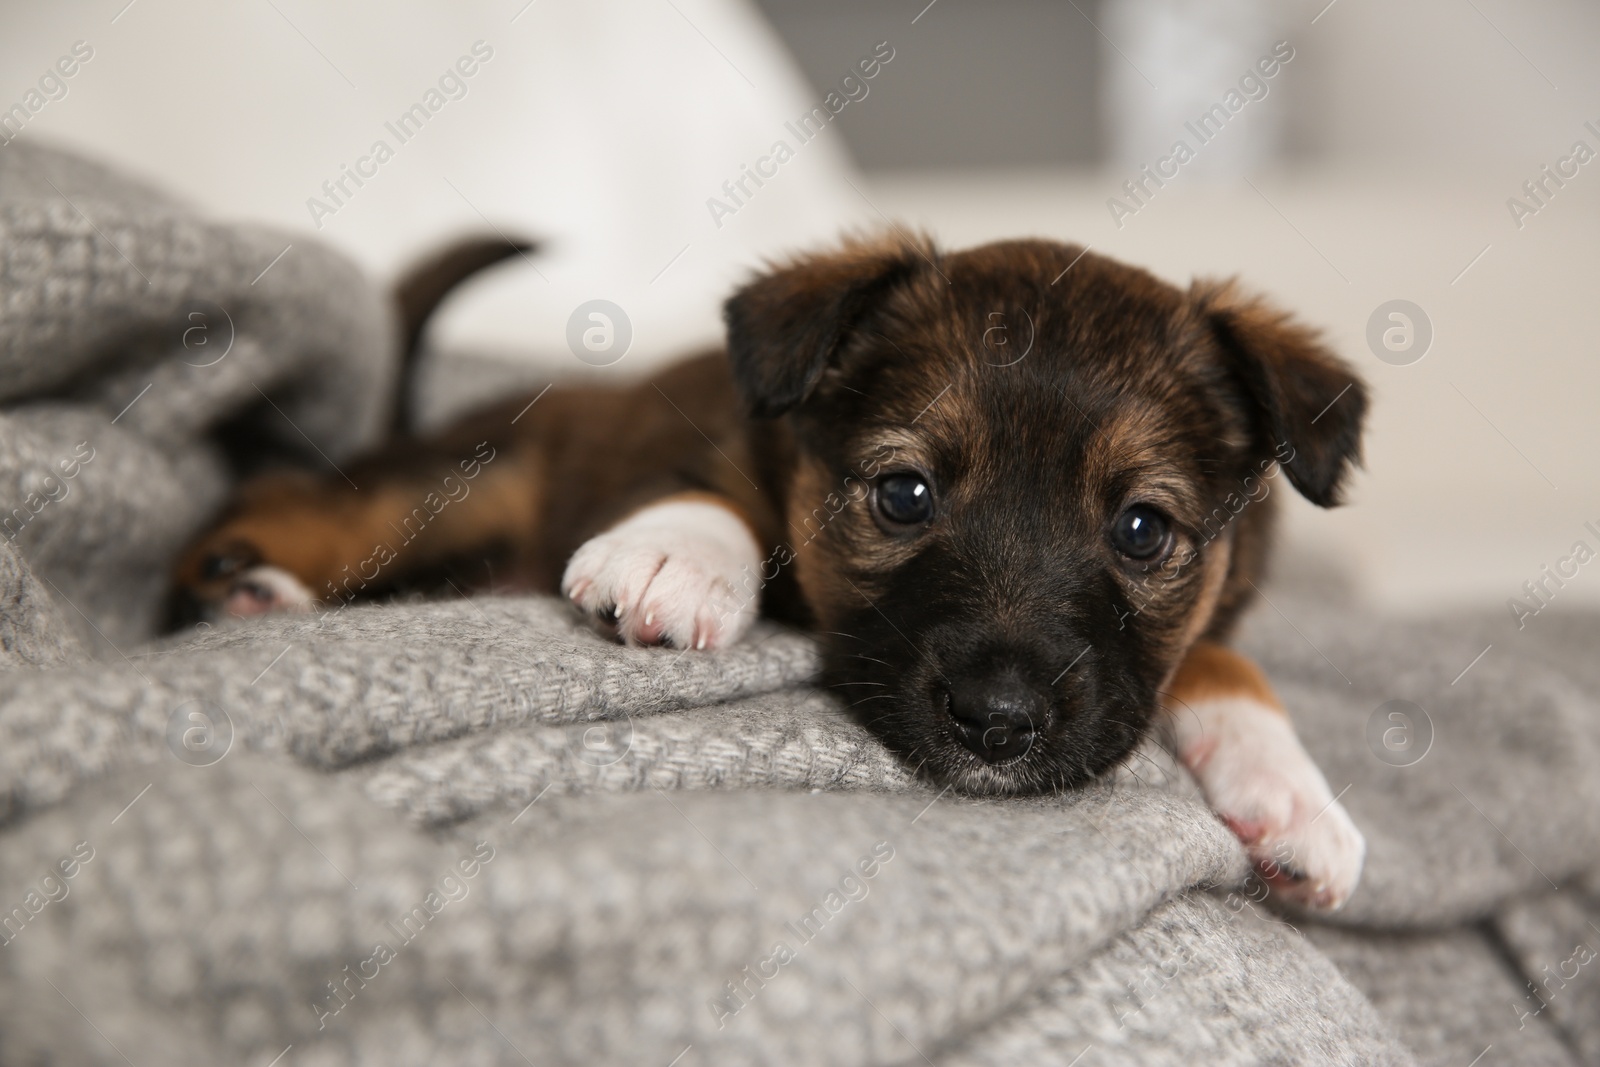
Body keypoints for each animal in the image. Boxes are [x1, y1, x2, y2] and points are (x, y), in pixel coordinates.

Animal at [178, 233, 1376, 908]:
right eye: (904, 494)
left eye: (1140, 529)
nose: (996, 723)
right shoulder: (713, 444)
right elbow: (722, 495)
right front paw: (673, 558)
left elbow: (1222, 662)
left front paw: (1291, 797)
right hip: (466, 478)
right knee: (275, 509)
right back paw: (245, 590)